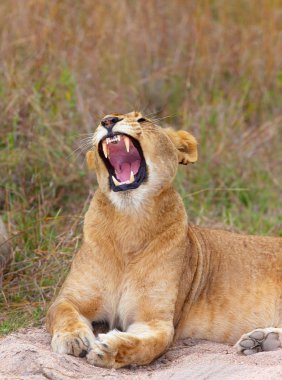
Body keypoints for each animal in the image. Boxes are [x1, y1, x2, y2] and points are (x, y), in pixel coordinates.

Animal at [46, 111, 282, 366]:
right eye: (105, 119)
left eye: (142, 120)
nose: (108, 120)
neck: (129, 221)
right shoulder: (71, 297)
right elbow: (62, 312)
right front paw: (73, 339)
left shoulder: (155, 320)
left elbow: (147, 345)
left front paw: (109, 349)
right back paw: (258, 341)